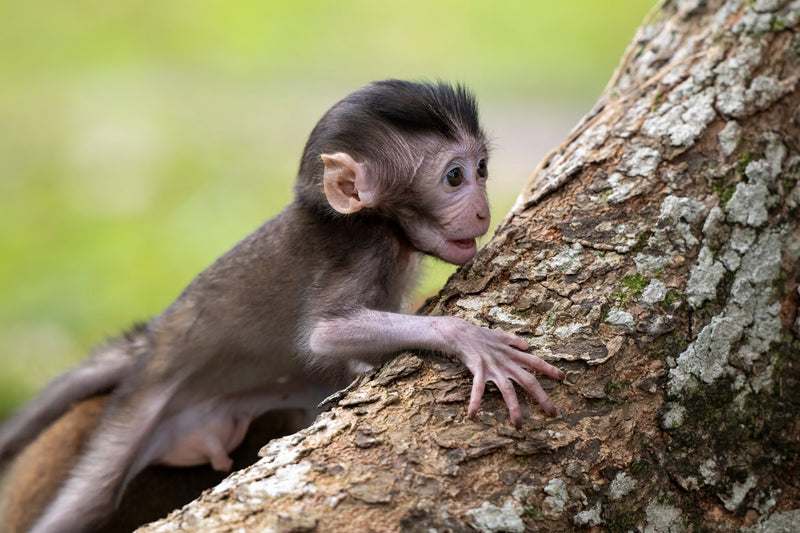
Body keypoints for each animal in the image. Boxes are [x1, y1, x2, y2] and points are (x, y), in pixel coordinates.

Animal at [0, 80, 565, 533]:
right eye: (454, 177)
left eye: (483, 168)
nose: (483, 209)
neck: (372, 222)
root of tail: (156, 337)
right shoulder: (362, 250)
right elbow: (325, 335)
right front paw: (470, 340)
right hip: (138, 403)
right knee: (86, 502)